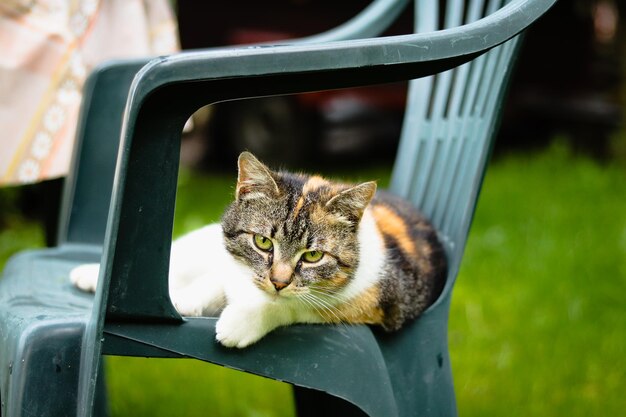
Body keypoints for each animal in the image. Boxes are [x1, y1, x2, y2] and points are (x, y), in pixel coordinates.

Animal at [72, 151, 444, 346]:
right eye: (262, 242)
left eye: (313, 256)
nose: (278, 281)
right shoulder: (226, 264)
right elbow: (213, 280)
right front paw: (185, 300)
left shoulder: (377, 303)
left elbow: (295, 306)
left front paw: (240, 322)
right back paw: (90, 274)